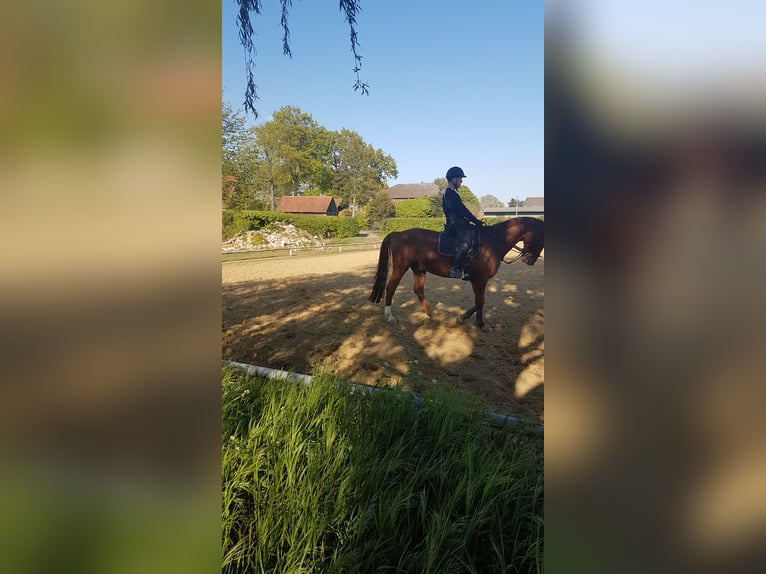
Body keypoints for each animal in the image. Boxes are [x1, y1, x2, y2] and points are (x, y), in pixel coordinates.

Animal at [368, 216, 544, 328]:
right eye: (540, 239)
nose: (530, 260)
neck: (493, 242)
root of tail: (399, 234)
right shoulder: (479, 279)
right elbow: (480, 302)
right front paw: (476, 322)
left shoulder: (479, 279)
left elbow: (479, 302)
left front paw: (468, 319)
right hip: (400, 267)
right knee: (391, 287)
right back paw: (390, 317)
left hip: (419, 269)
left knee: (418, 290)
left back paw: (432, 314)